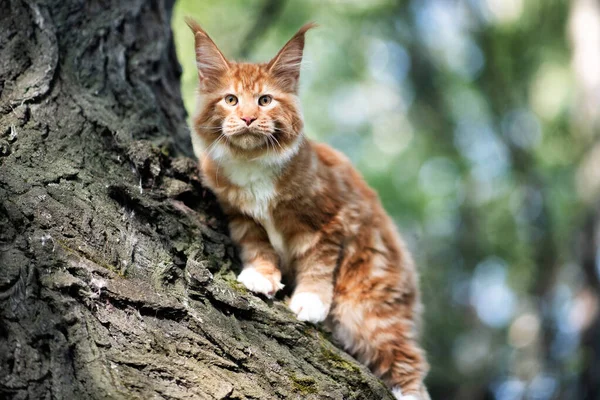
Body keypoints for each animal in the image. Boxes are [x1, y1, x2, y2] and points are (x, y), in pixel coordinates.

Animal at [188, 19, 432, 400]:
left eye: (265, 100)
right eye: (230, 100)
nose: (247, 118)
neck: (252, 164)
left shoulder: (329, 220)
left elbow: (318, 263)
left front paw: (310, 301)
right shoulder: (239, 215)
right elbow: (256, 245)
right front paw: (261, 275)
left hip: (368, 309)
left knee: (408, 361)